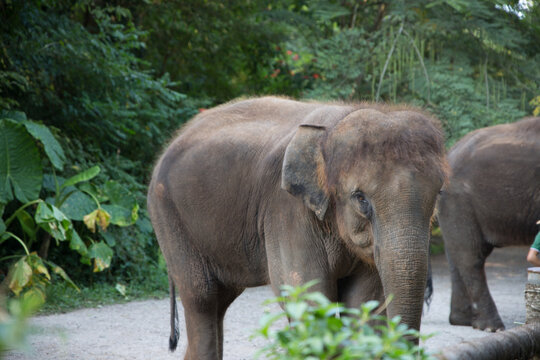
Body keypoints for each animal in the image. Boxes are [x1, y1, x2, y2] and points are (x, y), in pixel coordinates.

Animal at [148, 96, 448, 360]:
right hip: (169, 217)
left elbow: (364, 303)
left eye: (439, 194)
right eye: (361, 198)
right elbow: (309, 300)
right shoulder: (286, 211)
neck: (338, 123)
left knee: (220, 300)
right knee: (202, 298)